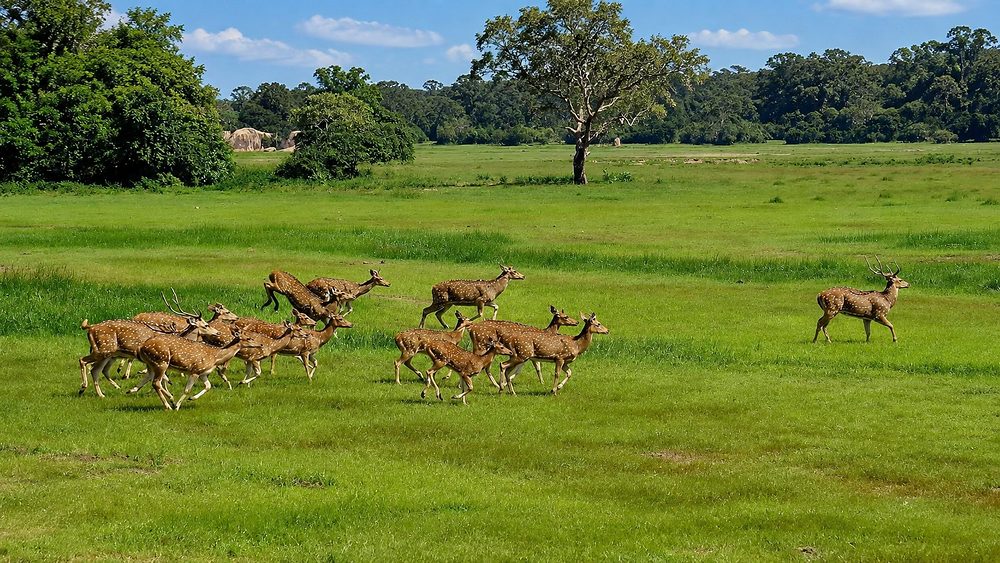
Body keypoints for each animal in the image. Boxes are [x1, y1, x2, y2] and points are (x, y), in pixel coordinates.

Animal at [78, 316, 219, 398]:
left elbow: (155, 377)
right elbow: (160, 377)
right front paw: (169, 394)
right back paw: (83, 387)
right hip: (104, 350)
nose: (217, 332)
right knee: (83, 361)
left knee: (96, 370)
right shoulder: (156, 359)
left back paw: (101, 394)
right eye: (206, 325)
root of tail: (90, 327)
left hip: (106, 353)